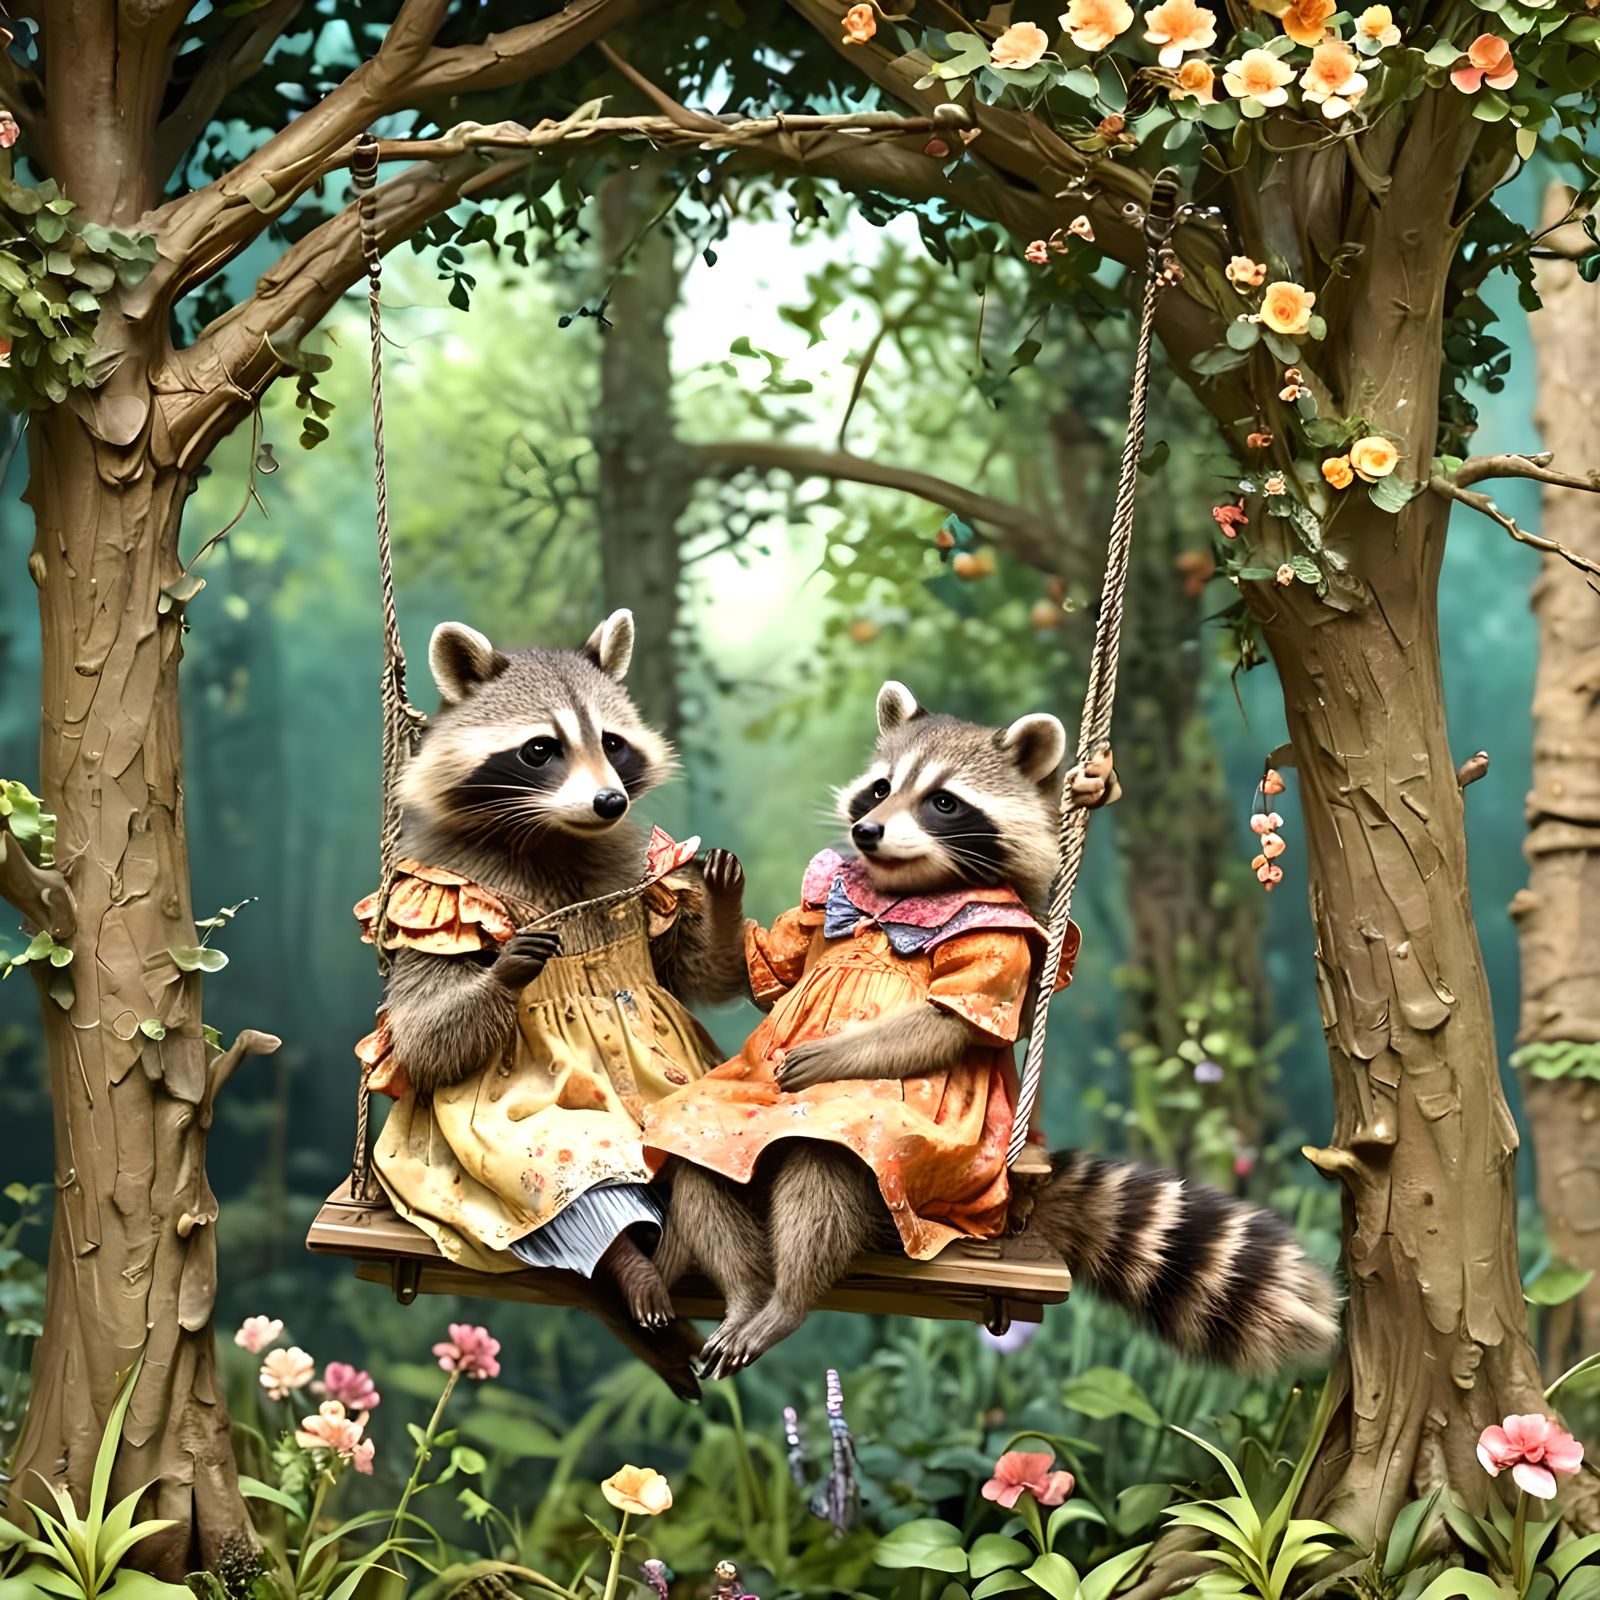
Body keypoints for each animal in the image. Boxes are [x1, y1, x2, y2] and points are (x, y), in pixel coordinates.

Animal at [655, 682, 1338, 1380]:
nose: (867, 831)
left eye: (943, 802)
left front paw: (829, 1054)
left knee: (829, 1159)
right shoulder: (822, 905)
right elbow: (750, 967)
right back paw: (745, 1294)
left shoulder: (1003, 932)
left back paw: (788, 1299)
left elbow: (951, 1019)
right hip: (719, 1129)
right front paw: (719, 901)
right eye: (880, 788)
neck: (900, 897)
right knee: (694, 1151)